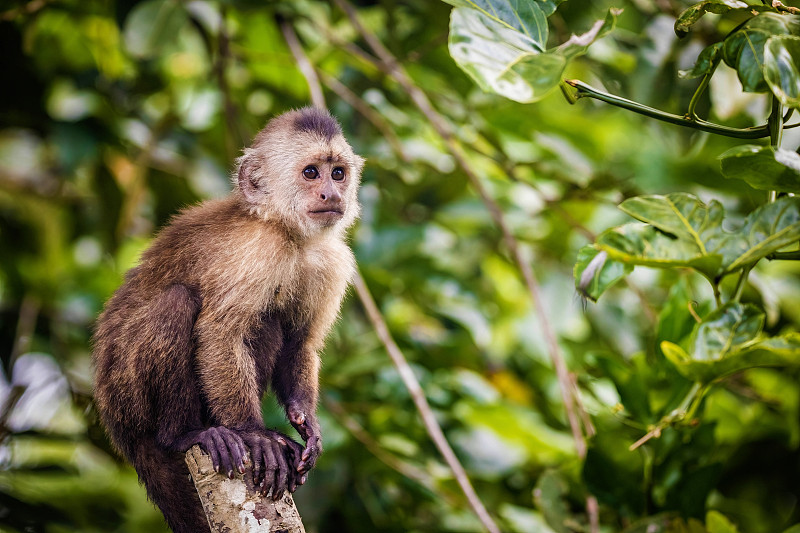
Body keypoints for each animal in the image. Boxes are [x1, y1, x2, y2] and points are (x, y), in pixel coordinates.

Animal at [92, 108, 364, 532]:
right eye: (310, 173)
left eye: (338, 173)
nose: (331, 195)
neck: (286, 232)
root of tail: (120, 431)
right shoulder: (256, 253)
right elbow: (220, 333)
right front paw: (255, 435)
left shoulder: (331, 262)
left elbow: (300, 343)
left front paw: (306, 424)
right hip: (127, 396)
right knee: (177, 303)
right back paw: (187, 434)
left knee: (271, 323)